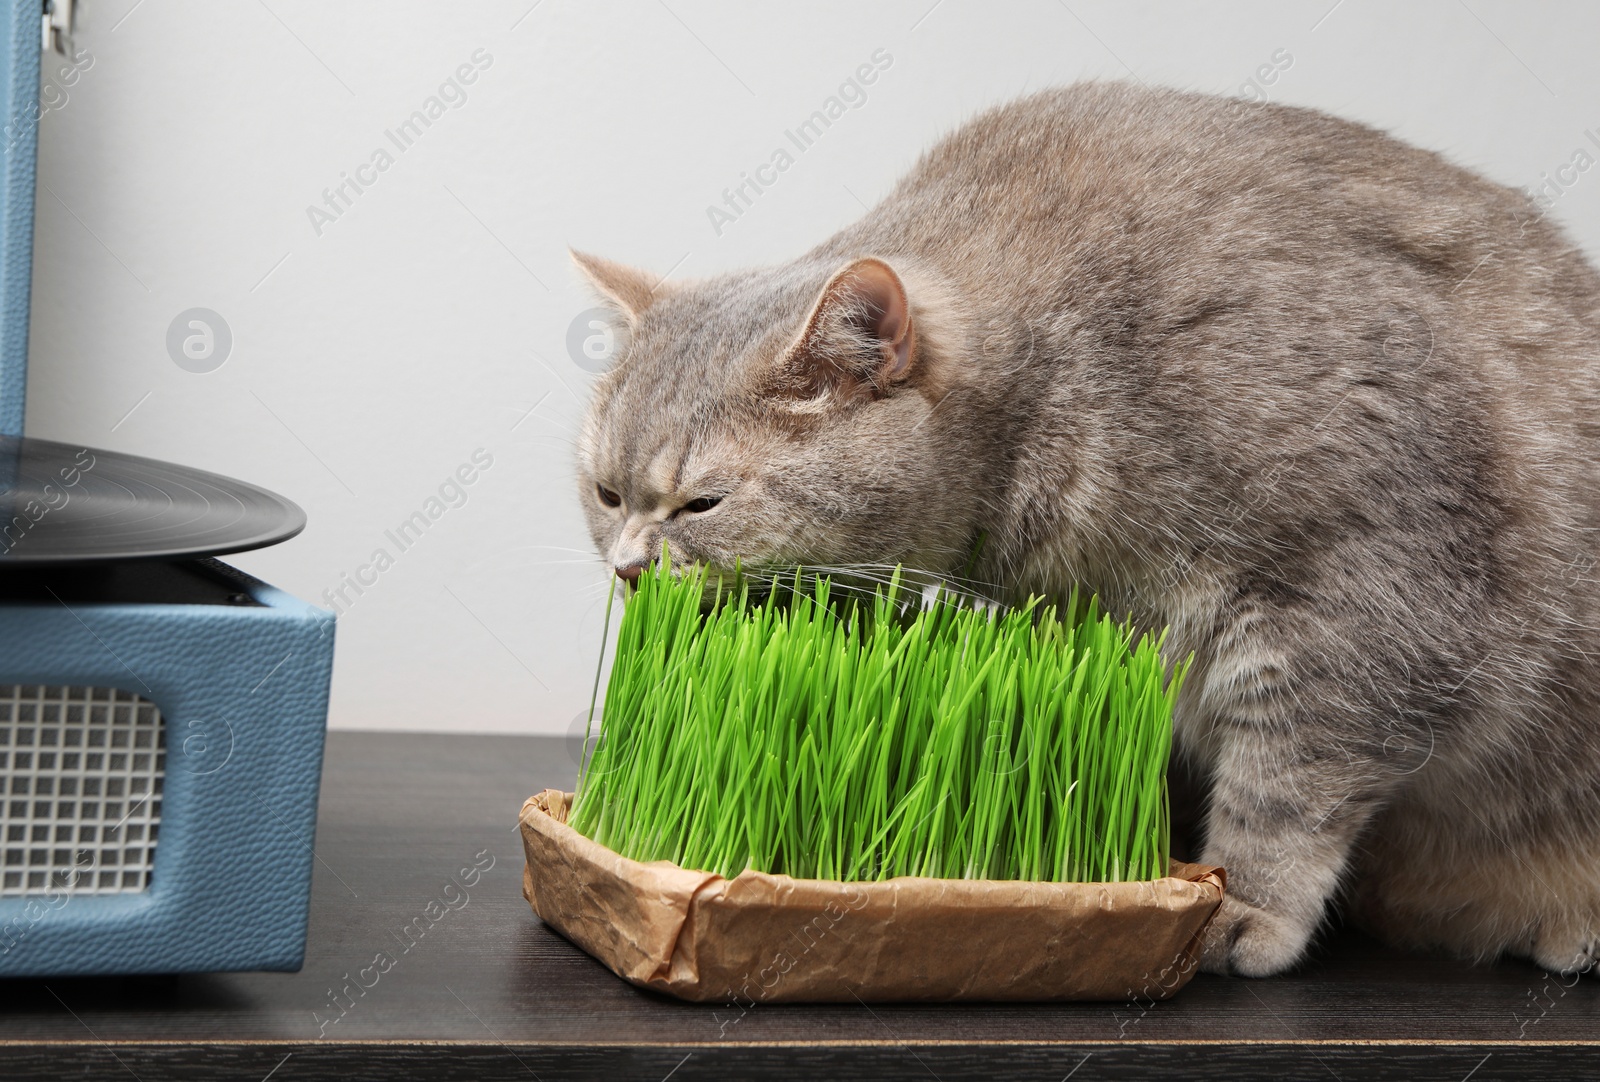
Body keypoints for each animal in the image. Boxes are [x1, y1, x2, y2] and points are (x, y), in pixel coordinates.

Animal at [576, 82, 1600, 979]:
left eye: (700, 504)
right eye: (607, 494)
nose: (627, 568)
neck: (1067, 373)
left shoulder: (1372, 595)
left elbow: (1287, 786)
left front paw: (1244, 907)